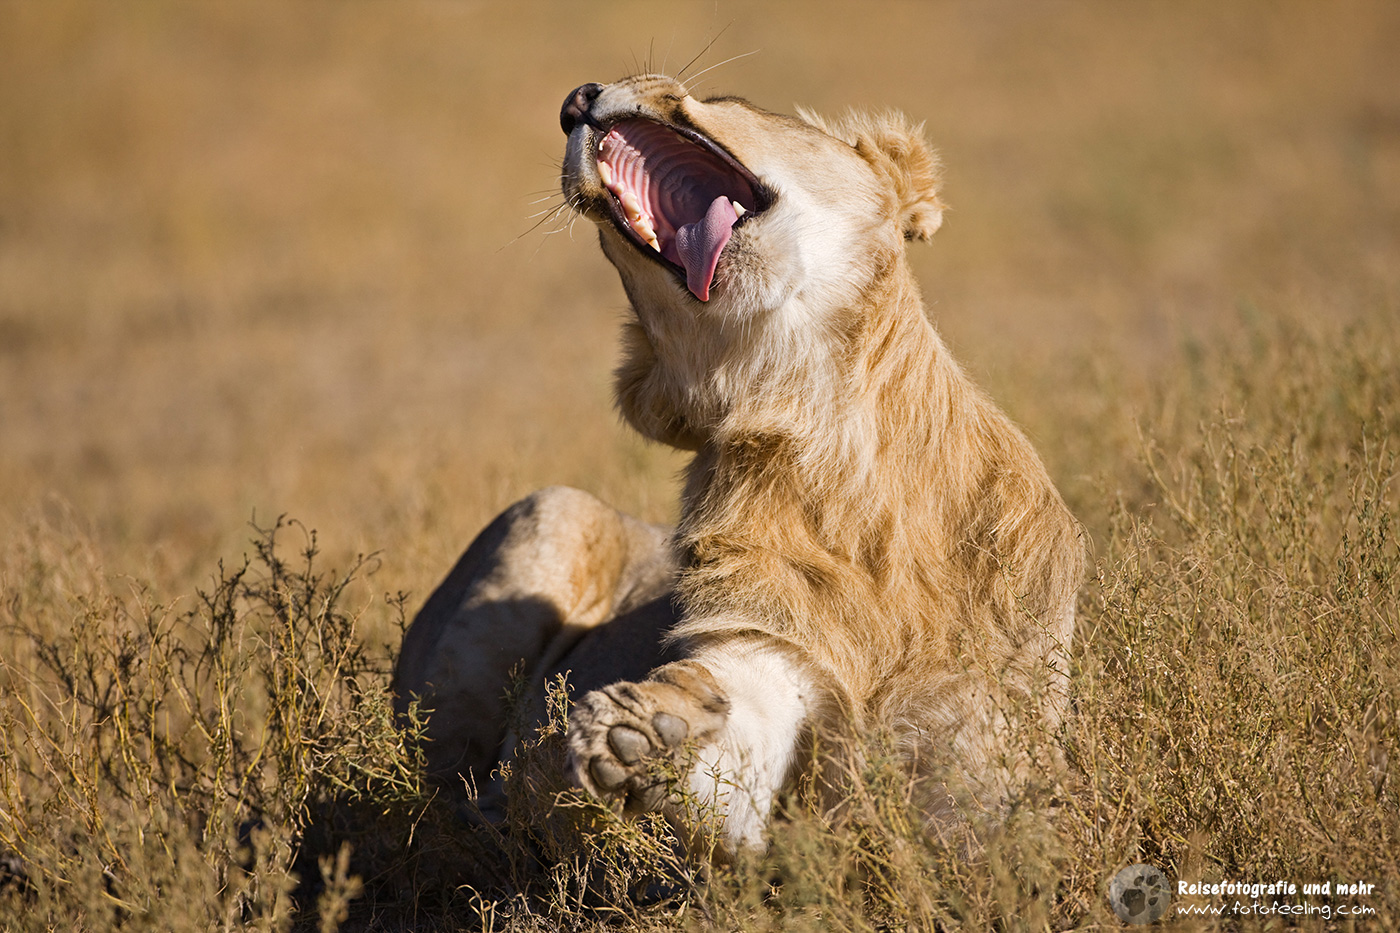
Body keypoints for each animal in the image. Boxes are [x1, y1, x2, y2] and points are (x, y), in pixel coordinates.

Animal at [393, 74, 1085, 857]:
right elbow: (726, 741)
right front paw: (638, 734)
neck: (823, 431)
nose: (575, 99)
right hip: (550, 509)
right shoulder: (760, 645)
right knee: (431, 785)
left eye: (731, 98)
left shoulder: (983, 743)